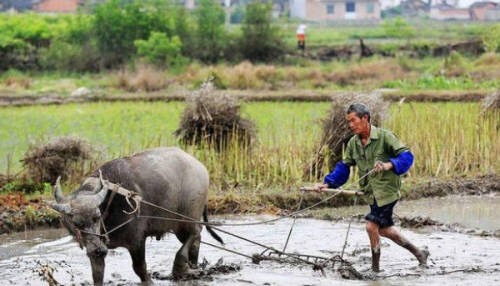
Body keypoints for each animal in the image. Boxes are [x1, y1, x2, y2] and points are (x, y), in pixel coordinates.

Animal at [50, 149, 223, 284]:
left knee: (196, 233)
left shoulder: (137, 240)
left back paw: (180, 267)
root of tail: (200, 167)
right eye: (76, 222)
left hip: (187, 218)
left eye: (97, 216)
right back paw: (193, 266)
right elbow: (97, 275)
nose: (99, 250)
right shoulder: (94, 250)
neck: (109, 203)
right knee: (195, 241)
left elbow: (139, 268)